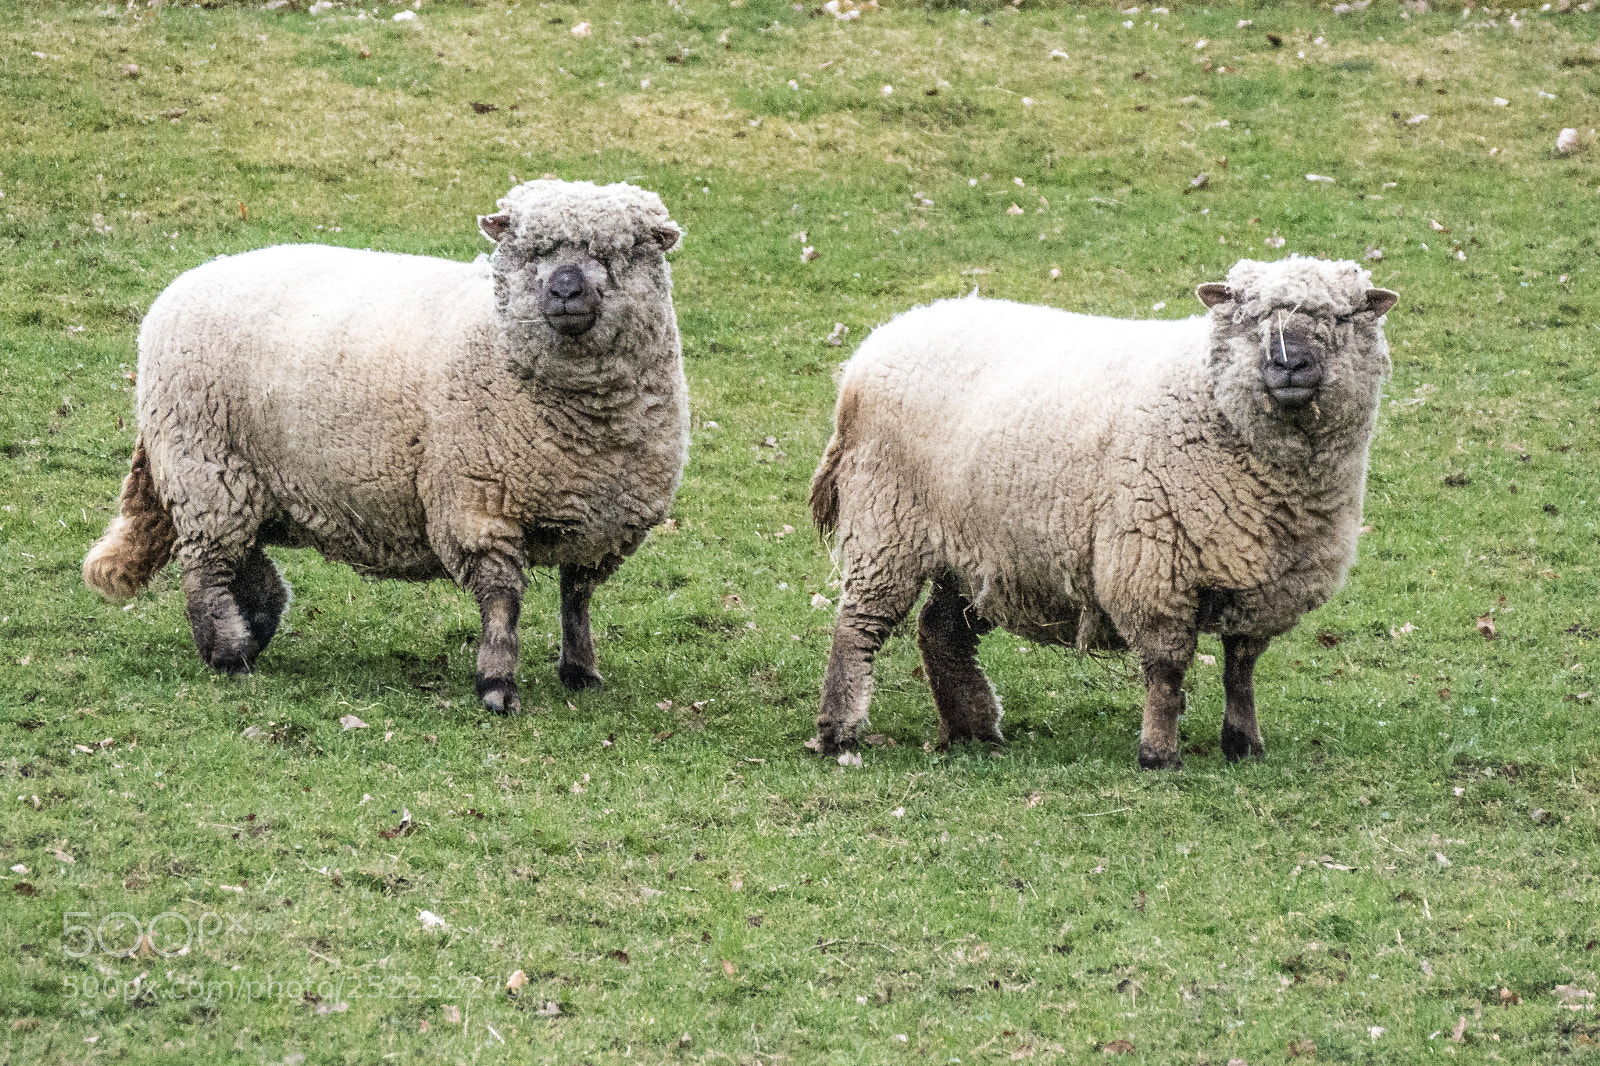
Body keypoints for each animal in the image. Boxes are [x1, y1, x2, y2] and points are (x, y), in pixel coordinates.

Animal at [83, 179, 688, 714]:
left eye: (617, 252)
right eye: (531, 250)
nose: (563, 290)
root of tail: (183, 284)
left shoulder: (603, 522)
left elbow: (577, 599)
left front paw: (581, 671)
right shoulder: (476, 504)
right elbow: (502, 603)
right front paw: (497, 686)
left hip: (245, 478)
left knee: (242, 555)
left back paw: (256, 626)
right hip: (205, 465)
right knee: (207, 568)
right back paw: (229, 653)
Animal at [808, 257, 1398, 769]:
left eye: (1342, 318)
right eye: (1249, 317)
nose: (1289, 363)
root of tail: (879, 341)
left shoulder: (1266, 584)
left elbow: (1241, 671)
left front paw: (1244, 745)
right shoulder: (1153, 567)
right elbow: (1167, 671)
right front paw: (1159, 754)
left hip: (981, 547)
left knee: (941, 630)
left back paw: (972, 728)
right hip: (886, 522)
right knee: (858, 626)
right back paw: (839, 731)